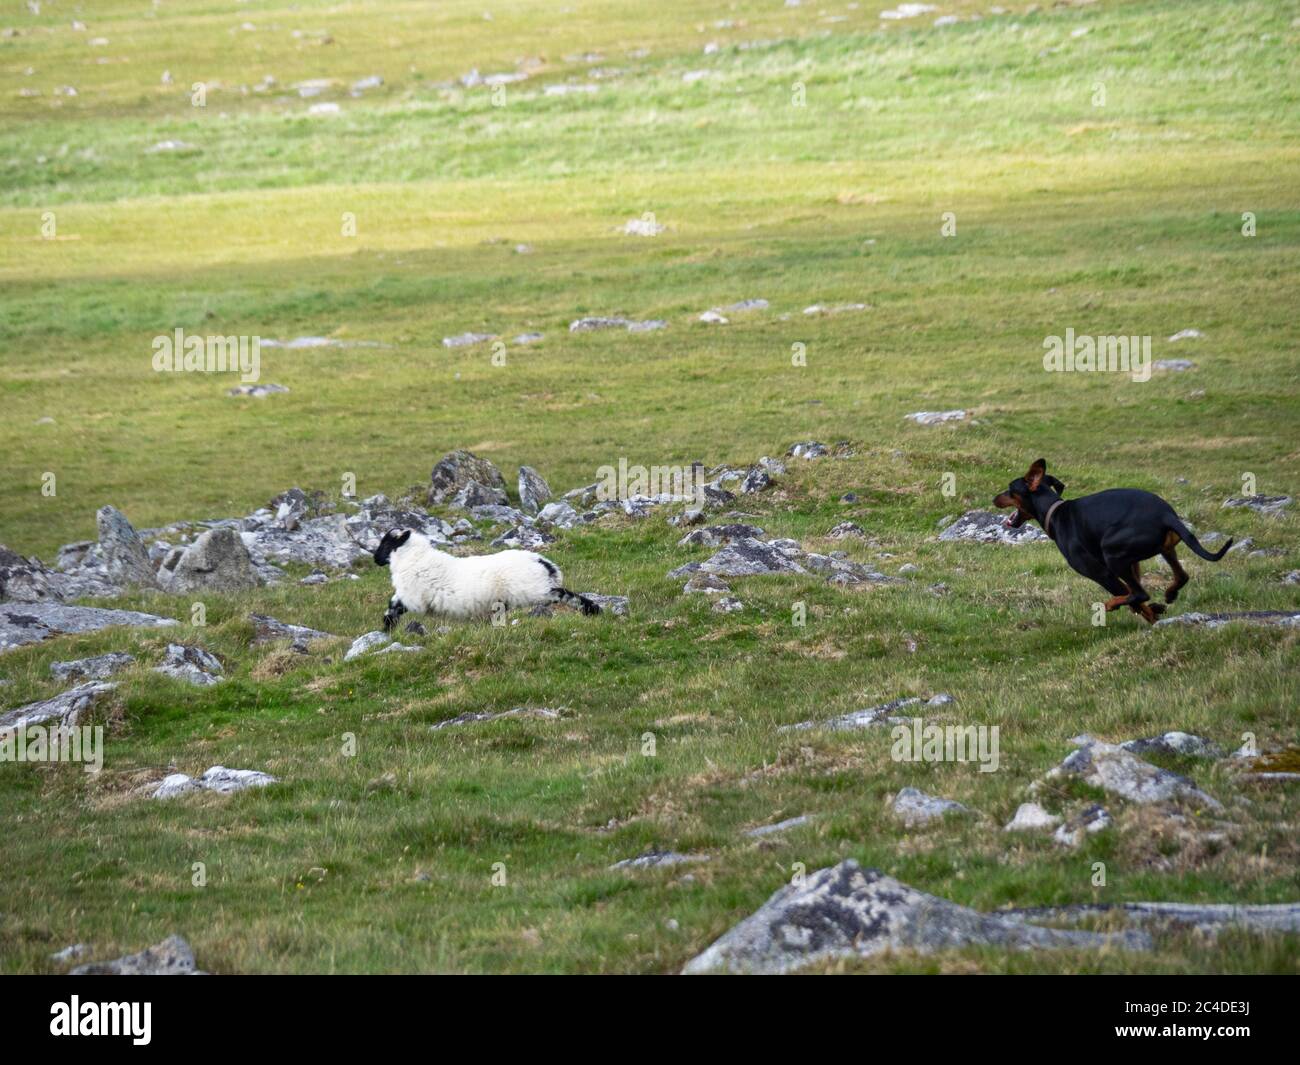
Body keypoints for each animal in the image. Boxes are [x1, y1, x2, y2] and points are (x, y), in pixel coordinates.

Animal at [374, 527, 600, 629]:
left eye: (386, 543)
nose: (375, 559)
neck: (413, 557)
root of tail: (541, 562)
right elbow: (393, 604)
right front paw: (388, 627)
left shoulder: (413, 597)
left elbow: (394, 605)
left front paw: (387, 626)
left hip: (535, 590)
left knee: (564, 594)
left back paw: (593, 609)